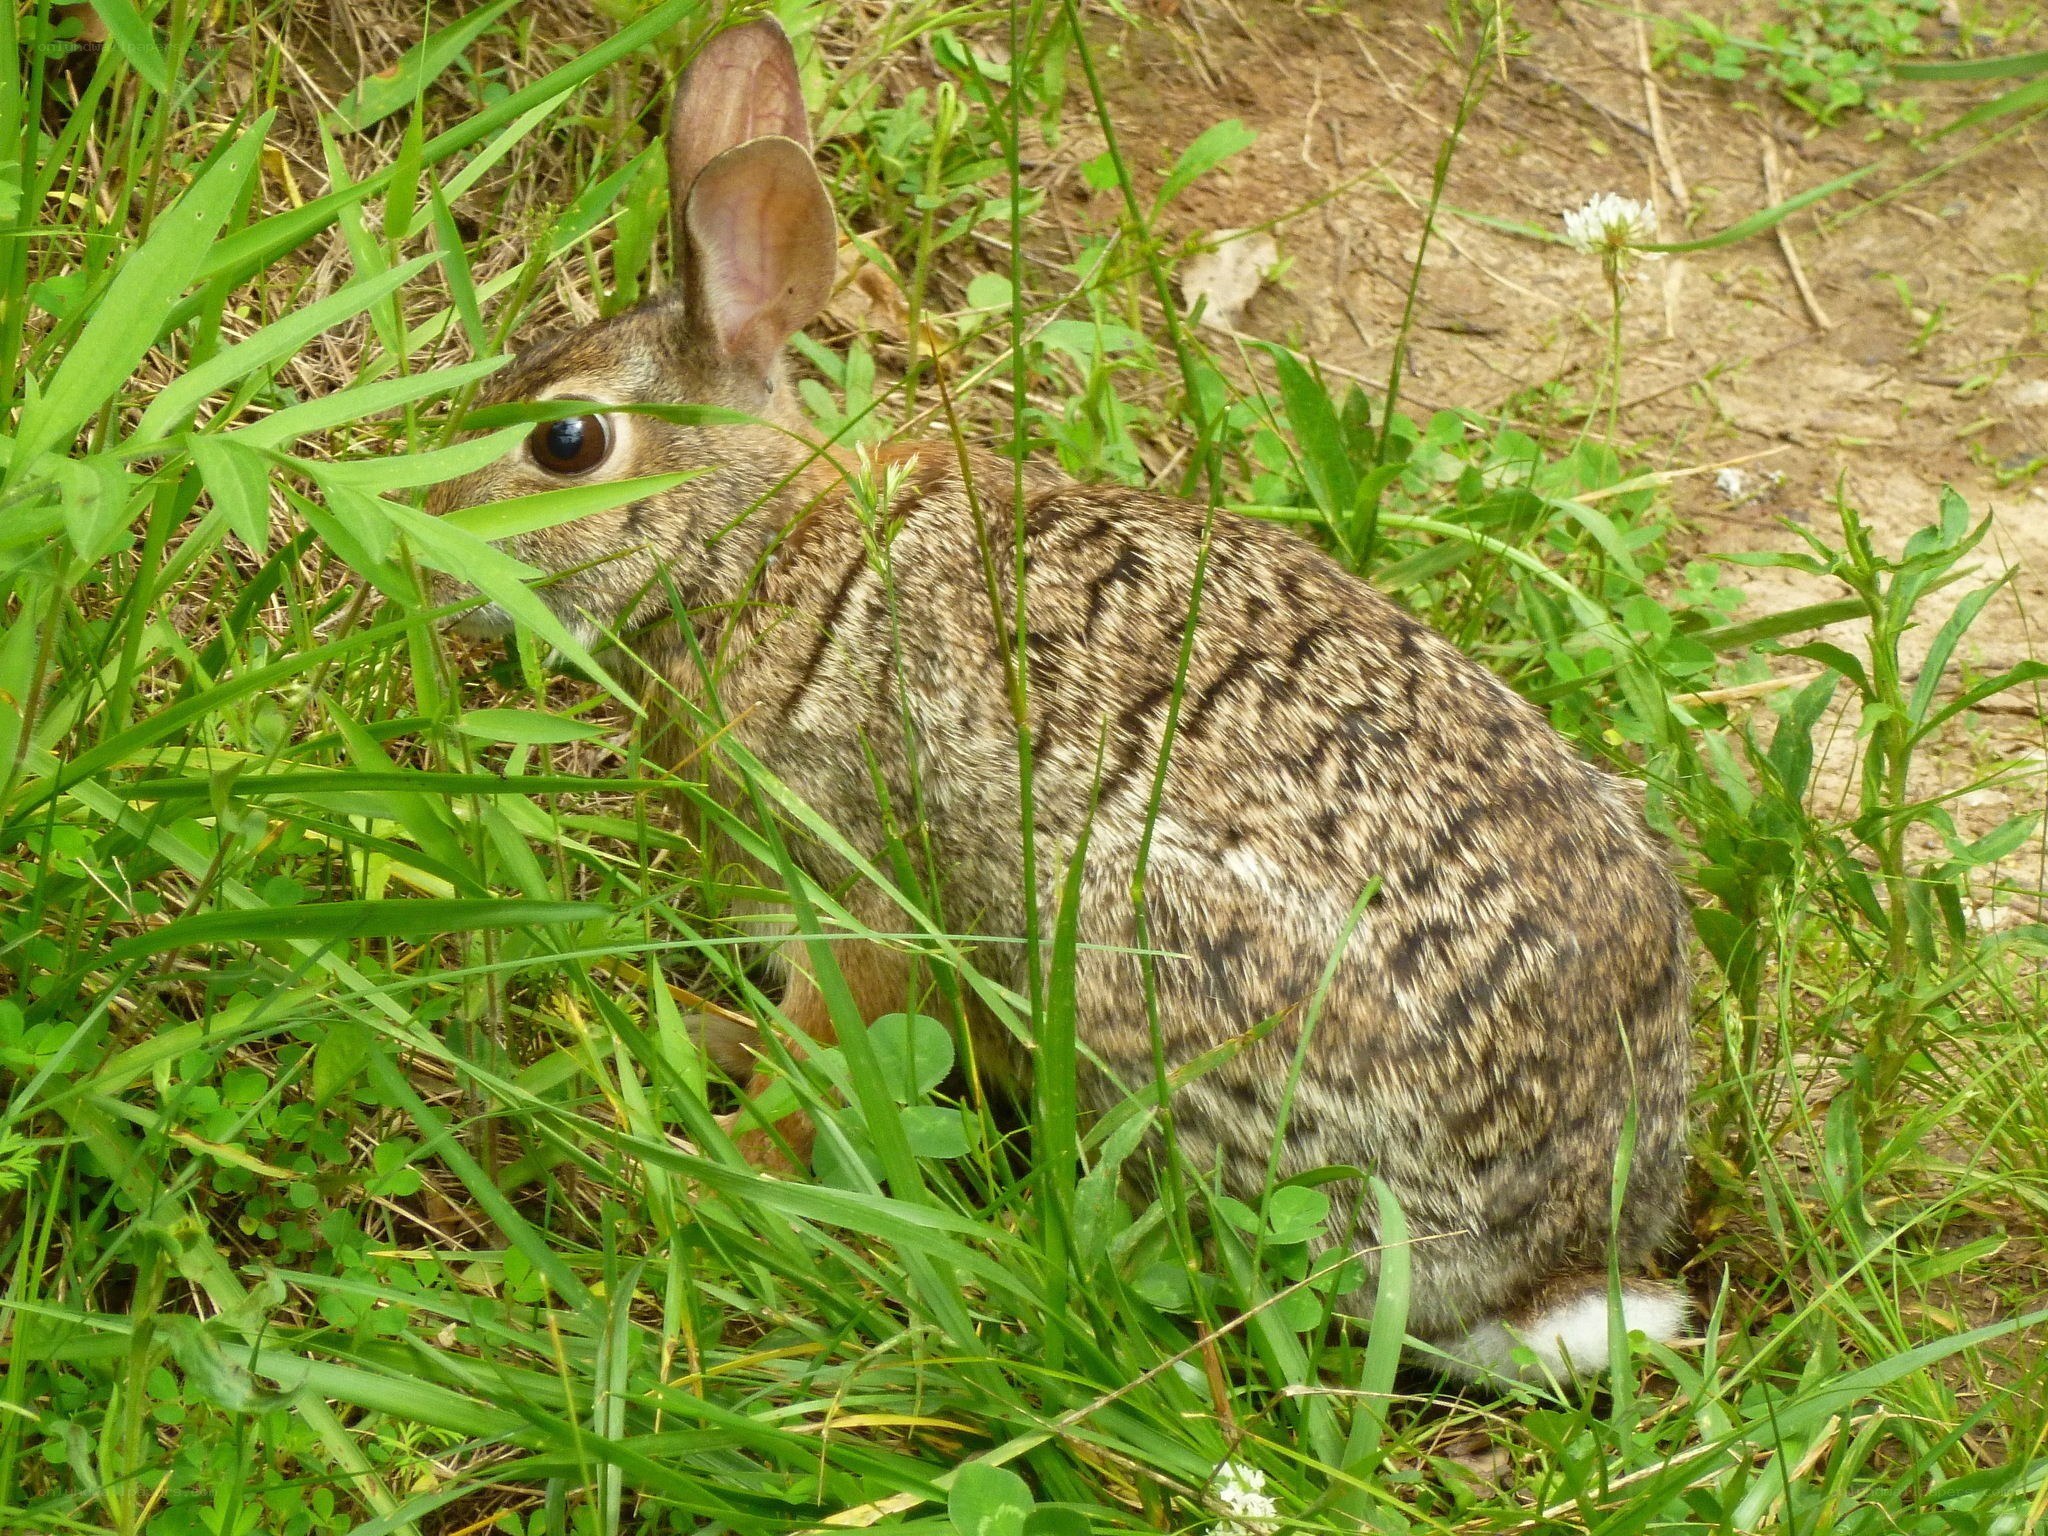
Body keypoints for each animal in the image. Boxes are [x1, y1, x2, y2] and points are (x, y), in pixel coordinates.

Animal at [426, 16, 1694, 1383]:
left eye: (565, 445)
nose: (421, 550)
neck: (757, 552)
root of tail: (1532, 1266)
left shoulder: (858, 897)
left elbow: (825, 1055)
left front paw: (722, 1149)